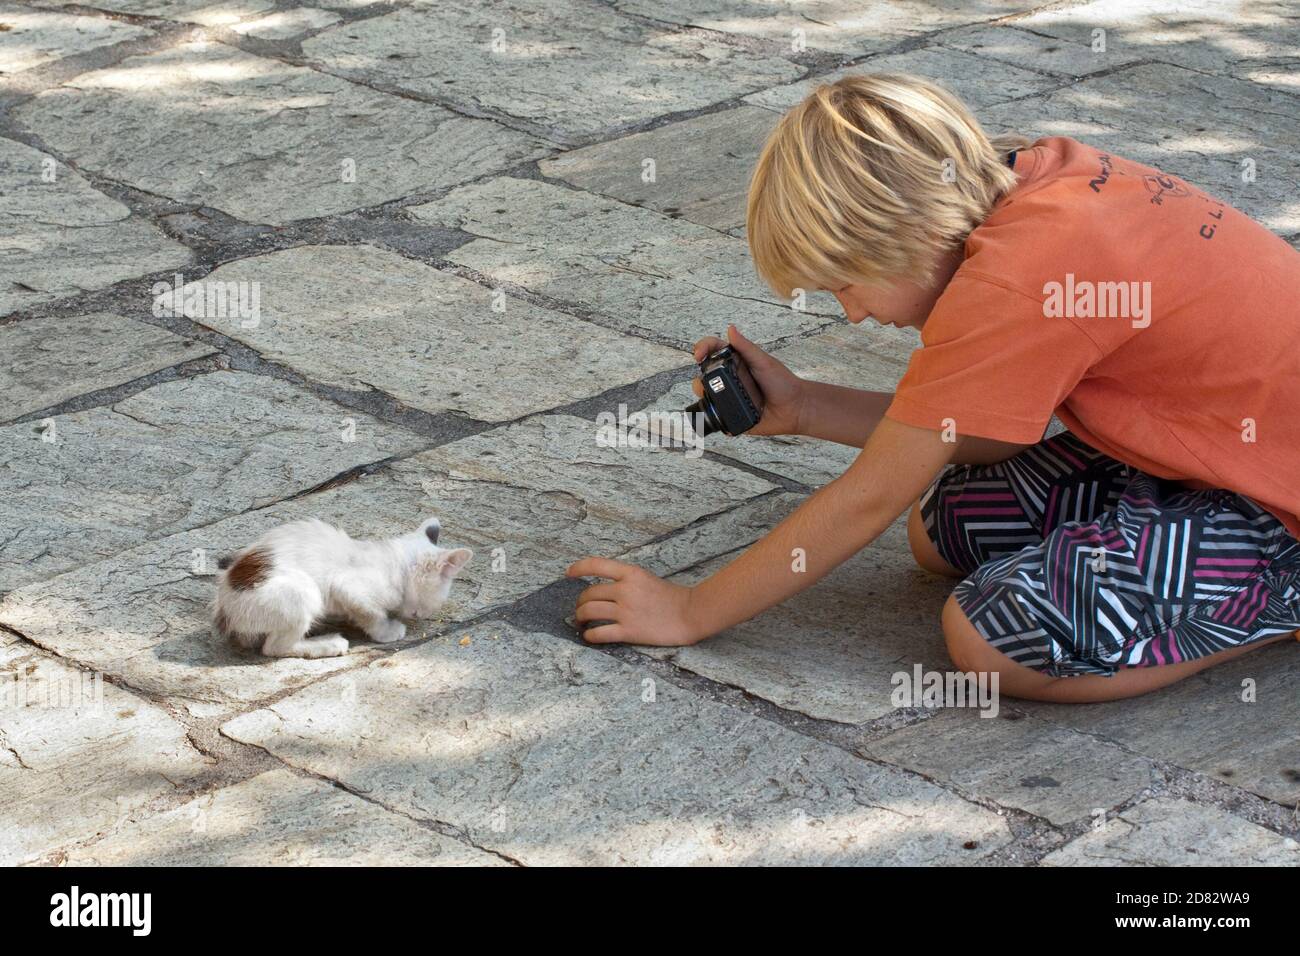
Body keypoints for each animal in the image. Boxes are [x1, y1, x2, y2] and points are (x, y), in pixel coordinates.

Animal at [213, 515, 473, 658]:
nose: (424, 615)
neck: (398, 565)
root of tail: (226, 611)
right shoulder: (348, 587)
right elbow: (371, 613)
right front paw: (387, 632)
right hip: (301, 591)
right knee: (274, 648)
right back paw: (328, 644)